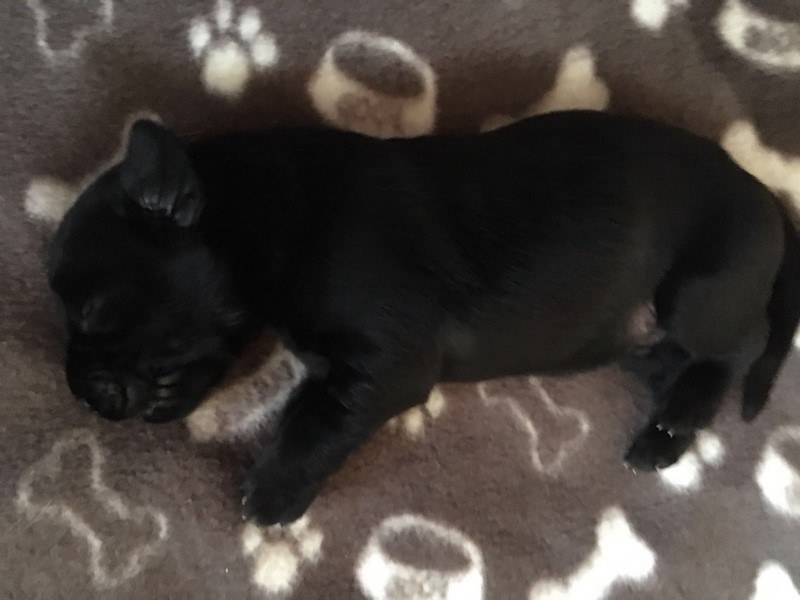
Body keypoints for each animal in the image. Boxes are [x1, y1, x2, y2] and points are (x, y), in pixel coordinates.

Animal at [48, 111, 800, 525]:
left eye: (91, 312)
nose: (76, 389)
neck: (261, 209)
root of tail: (764, 192)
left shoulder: (388, 362)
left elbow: (318, 419)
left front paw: (275, 489)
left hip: (698, 292)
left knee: (742, 347)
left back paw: (671, 428)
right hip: (641, 337)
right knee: (683, 359)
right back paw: (669, 427)